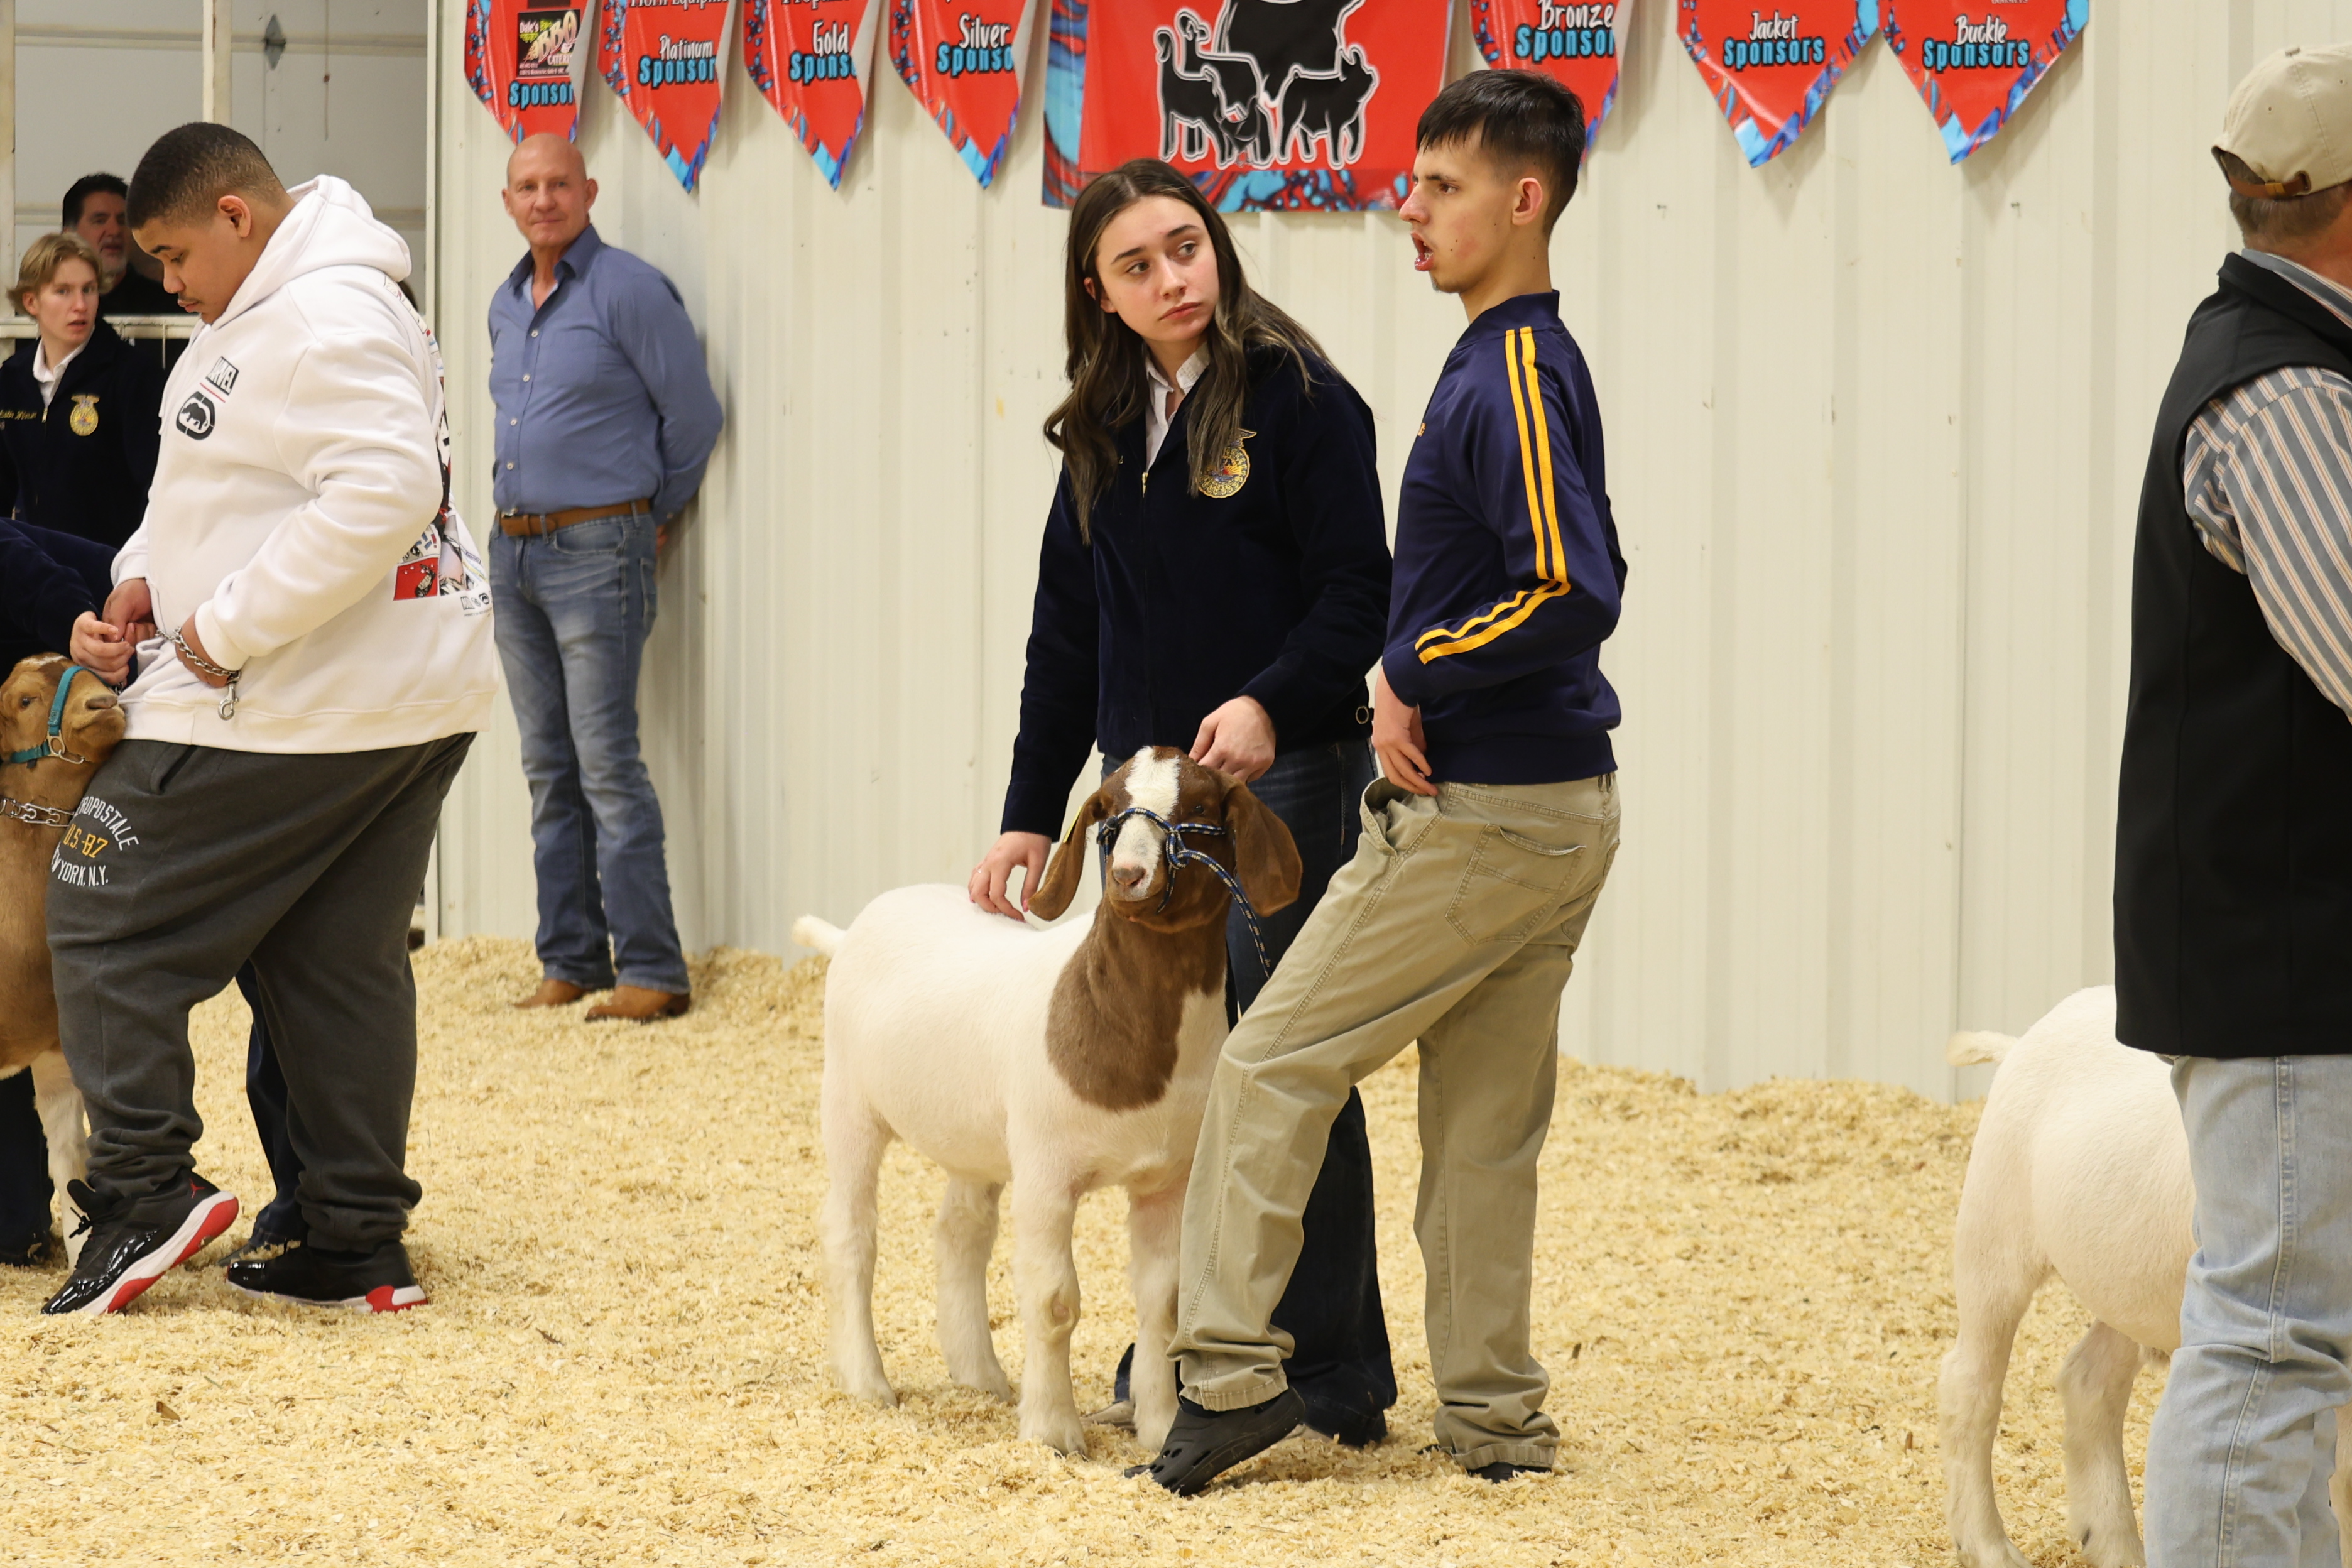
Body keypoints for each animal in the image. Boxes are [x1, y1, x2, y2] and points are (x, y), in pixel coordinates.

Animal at [794, 746, 1300, 1458]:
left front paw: (1159, 1427)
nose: (1129, 875)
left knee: (960, 1233)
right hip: (848, 1101)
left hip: (975, 1137)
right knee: (851, 1232)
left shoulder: (1169, 1181)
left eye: (1199, 807)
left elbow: (1162, 1303)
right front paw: (1053, 1431)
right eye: (1109, 810)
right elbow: (1055, 1302)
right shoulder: (1045, 1175)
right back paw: (867, 1382)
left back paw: (980, 1374)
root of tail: (849, 932)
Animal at [1939, 985, 2352, 1568]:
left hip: (2132, 1283)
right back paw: (1988, 1545)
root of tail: (2022, 1040)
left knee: (2089, 1381)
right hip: (1994, 1233)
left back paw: (2114, 1543)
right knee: (1971, 1383)